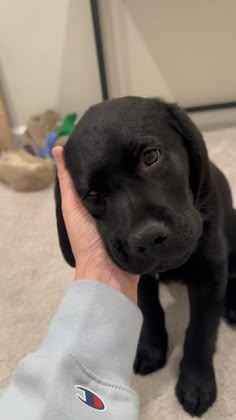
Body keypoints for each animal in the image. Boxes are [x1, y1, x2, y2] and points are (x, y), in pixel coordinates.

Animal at [54, 97, 236, 416]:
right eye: (92, 194)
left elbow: (200, 331)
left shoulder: (210, 274)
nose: (147, 239)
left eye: (151, 156)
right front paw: (151, 349)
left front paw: (196, 383)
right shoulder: (140, 278)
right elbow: (150, 312)